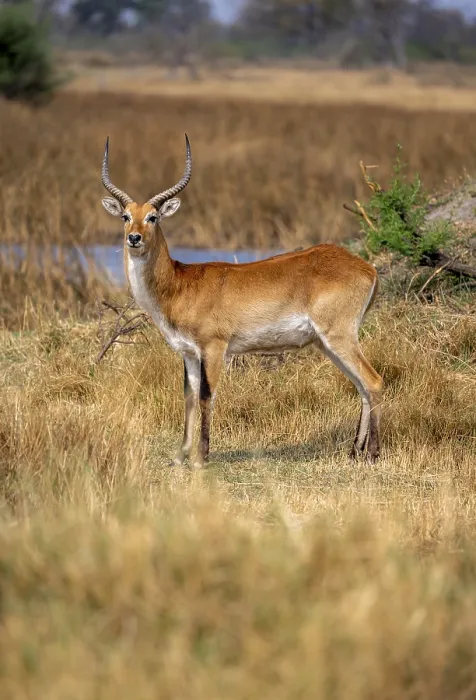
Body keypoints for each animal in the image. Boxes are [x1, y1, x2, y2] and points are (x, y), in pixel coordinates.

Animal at [101, 135, 383, 467]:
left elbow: (207, 395)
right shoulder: (189, 353)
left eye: (153, 217)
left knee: (373, 381)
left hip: (339, 336)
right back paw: (354, 452)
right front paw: (180, 456)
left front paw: (201, 457)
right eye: (126, 216)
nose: (134, 238)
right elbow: (188, 396)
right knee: (361, 386)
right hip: (327, 343)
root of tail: (367, 268)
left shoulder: (214, 348)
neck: (179, 284)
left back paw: (373, 453)